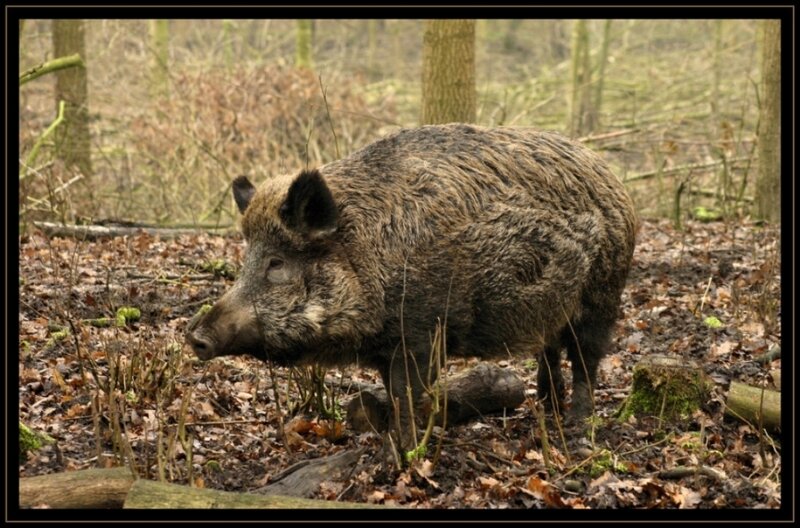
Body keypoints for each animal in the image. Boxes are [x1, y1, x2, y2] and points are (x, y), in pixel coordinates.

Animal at [187, 123, 637, 450]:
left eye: (277, 263)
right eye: (246, 258)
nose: (195, 336)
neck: (368, 254)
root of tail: (614, 180)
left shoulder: (421, 332)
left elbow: (409, 393)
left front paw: (405, 450)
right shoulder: (386, 348)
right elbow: (392, 392)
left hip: (602, 294)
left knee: (586, 358)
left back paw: (576, 425)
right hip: (551, 308)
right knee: (550, 351)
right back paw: (547, 409)